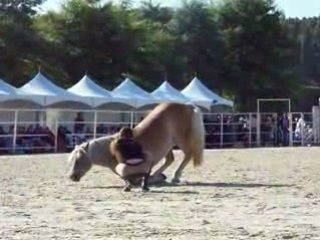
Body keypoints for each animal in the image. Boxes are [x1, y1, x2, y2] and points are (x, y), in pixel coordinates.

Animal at [67, 102, 205, 185]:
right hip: (168, 146)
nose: (71, 176)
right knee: (170, 159)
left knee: (188, 154)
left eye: (78, 160)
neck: (109, 150)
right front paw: (158, 178)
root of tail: (187, 105)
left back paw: (175, 176)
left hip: (180, 139)